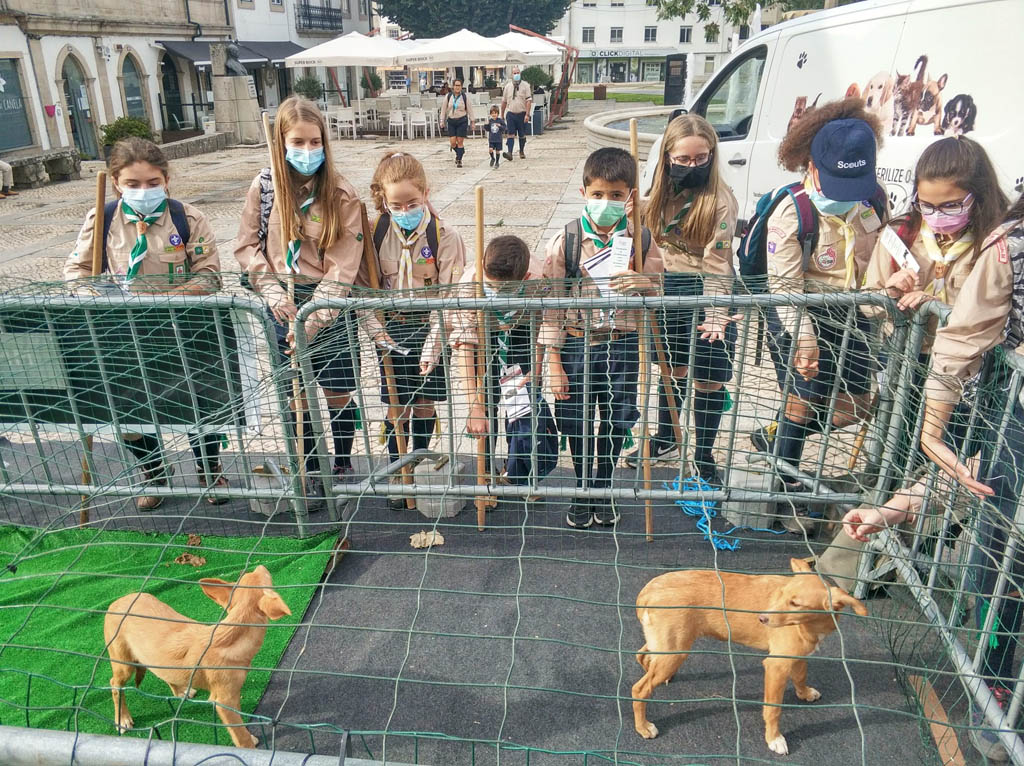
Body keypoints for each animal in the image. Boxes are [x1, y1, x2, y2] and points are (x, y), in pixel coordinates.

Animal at [104, 565, 291, 748]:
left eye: (249, 575)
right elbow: (240, 736)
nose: (261, 565)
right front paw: (248, 747)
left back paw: (180, 691)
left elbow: (239, 726)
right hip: (123, 664)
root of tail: (116, 602)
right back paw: (122, 719)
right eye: (267, 579)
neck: (229, 638)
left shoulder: (233, 695)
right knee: (115, 685)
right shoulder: (223, 702)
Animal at [631, 558, 867, 756]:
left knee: (642, 657)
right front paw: (774, 739)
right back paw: (643, 727)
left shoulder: (798, 656)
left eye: (795, 604)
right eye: (781, 595)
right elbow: (773, 709)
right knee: (639, 689)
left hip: (665, 647)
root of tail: (647, 591)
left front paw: (805, 693)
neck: (812, 625)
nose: (761, 618)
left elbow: (800, 676)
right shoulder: (776, 666)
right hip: (675, 652)